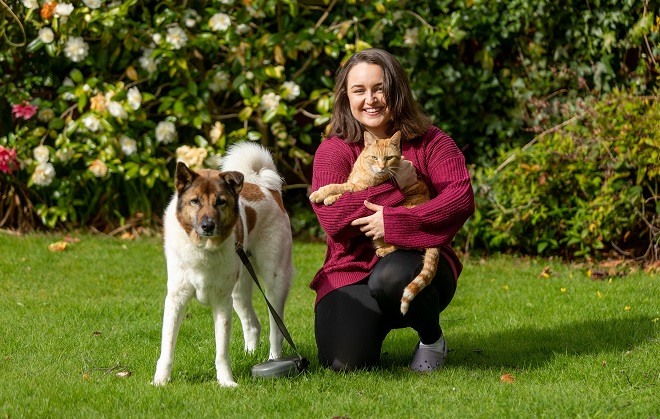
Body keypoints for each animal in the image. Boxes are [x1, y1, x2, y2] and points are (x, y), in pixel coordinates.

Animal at [155, 141, 294, 388]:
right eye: (195, 201)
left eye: (220, 202)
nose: (208, 225)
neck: (203, 249)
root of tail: (265, 187)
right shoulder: (175, 299)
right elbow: (167, 346)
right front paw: (161, 381)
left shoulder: (221, 302)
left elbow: (221, 351)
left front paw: (226, 382)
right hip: (239, 289)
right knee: (252, 324)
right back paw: (250, 355)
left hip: (274, 282)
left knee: (276, 330)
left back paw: (273, 361)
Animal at [310, 131, 438, 316]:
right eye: (374, 157)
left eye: (389, 158)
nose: (382, 167)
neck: (365, 168)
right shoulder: (353, 183)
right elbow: (340, 188)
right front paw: (326, 196)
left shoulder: (359, 188)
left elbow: (338, 188)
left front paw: (321, 195)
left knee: (408, 245)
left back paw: (384, 251)